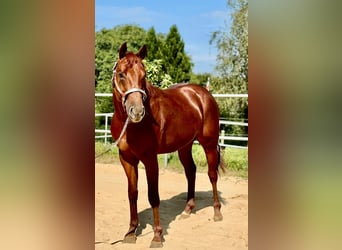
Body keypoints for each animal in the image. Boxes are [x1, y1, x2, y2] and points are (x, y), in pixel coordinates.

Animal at [111, 43, 226, 248]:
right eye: (121, 74)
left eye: (144, 75)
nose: (137, 111)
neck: (129, 124)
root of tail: (203, 94)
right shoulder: (126, 159)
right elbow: (132, 193)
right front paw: (131, 233)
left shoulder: (149, 159)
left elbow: (153, 196)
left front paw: (157, 236)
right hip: (184, 146)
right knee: (191, 171)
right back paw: (188, 209)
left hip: (209, 144)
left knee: (212, 175)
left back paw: (217, 212)